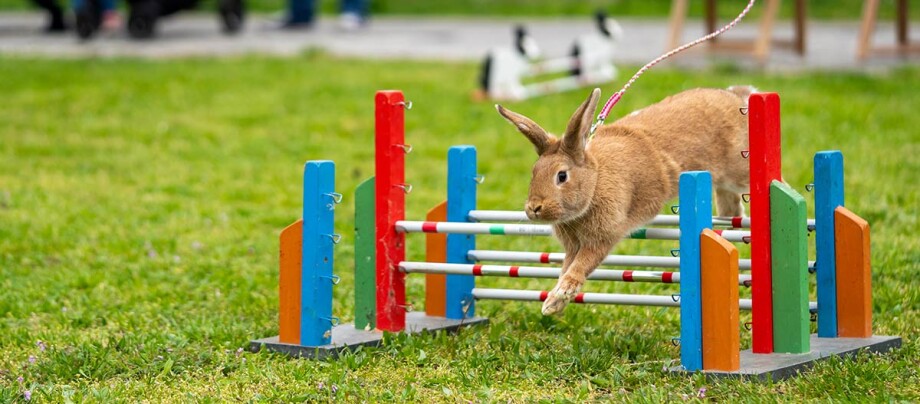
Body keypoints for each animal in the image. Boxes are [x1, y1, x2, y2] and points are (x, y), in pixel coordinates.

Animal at [500, 86, 752, 316]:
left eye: (561, 176)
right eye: (534, 172)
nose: (534, 208)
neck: (595, 182)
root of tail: (735, 96)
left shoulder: (602, 238)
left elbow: (579, 267)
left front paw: (556, 298)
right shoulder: (573, 246)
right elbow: (567, 267)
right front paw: (554, 303)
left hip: (737, 169)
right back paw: (731, 219)